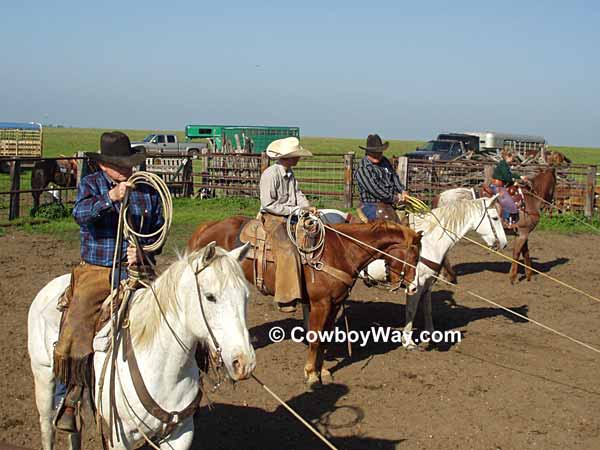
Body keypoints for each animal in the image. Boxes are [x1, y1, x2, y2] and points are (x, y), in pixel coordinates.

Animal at [29, 243, 254, 450]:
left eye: (246, 296)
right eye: (210, 296)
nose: (245, 363)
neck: (165, 370)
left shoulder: (180, 434)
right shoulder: (120, 438)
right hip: (43, 375)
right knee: (47, 426)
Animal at [188, 217, 422, 386]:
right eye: (412, 256)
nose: (413, 288)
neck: (341, 252)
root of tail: (206, 227)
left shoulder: (335, 304)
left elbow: (325, 339)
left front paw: (322, 371)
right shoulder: (321, 304)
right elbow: (316, 338)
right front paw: (311, 374)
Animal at [318, 197, 506, 348]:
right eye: (495, 218)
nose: (503, 244)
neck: (430, 242)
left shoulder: (428, 283)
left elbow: (428, 309)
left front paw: (432, 335)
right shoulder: (416, 283)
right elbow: (411, 310)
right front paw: (407, 342)